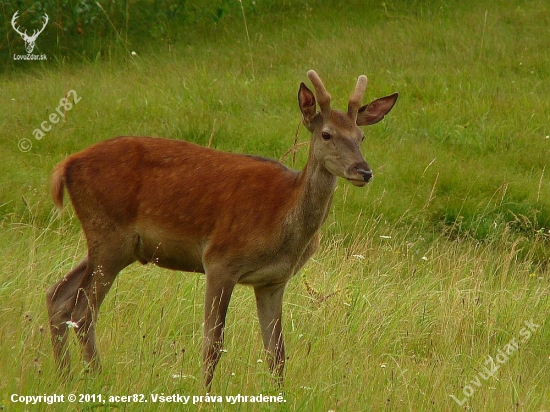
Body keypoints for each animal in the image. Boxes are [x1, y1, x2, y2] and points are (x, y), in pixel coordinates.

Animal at [47, 69, 398, 388]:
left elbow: (277, 352)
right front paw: (204, 392)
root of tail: (66, 164)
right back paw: (96, 379)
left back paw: (65, 378)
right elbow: (213, 344)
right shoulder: (220, 260)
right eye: (326, 134)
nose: (363, 171)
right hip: (109, 234)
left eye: (361, 137)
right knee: (83, 312)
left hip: (116, 244)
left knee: (58, 295)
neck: (283, 219)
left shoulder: (273, 280)